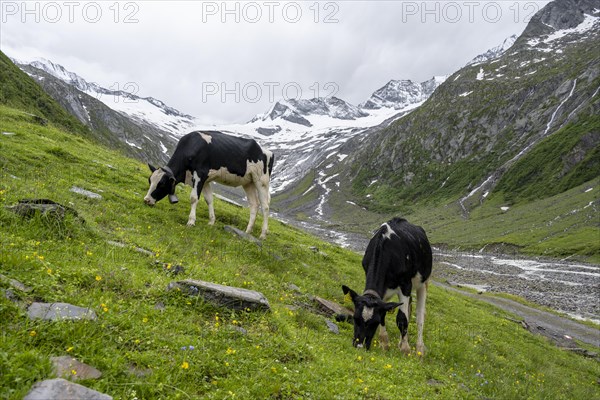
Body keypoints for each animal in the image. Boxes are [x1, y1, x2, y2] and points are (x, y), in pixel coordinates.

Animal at [144, 130, 276, 238]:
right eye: (150, 180)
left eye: (161, 184)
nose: (146, 200)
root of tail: (267, 151)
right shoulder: (205, 179)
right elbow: (209, 199)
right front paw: (211, 221)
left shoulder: (200, 174)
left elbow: (194, 198)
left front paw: (191, 221)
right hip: (248, 182)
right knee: (254, 204)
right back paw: (247, 231)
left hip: (261, 180)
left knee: (265, 206)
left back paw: (263, 234)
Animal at [342, 219, 432, 354]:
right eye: (355, 318)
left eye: (374, 323)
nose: (359, 346)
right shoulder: (382, 291)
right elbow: (386, 313)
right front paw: (385, 343)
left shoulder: (405, 284)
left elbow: (402, 319)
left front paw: (405, 349)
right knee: (409, 309)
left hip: (423, 282)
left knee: (420, 316)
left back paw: (419, 349)